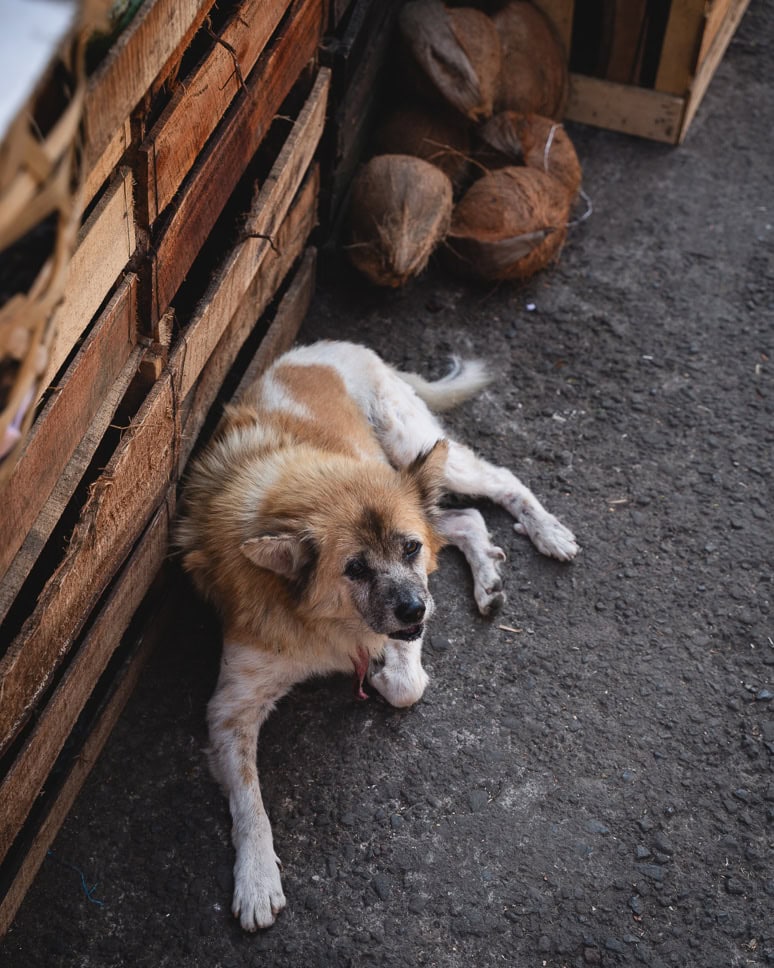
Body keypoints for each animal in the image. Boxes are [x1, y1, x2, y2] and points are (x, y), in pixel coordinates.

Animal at [176, 338, 576, 932]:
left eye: (407, 549)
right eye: (355, 569)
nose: (415, 609)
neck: (314, 615)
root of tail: (329, 346)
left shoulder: (412, 599)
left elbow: (407, 683)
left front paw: (383, 668)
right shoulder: (230, 708)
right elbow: (250, 802)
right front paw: (256, 879)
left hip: (417, 447)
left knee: (498, 484)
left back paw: (548, 531)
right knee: (464, 522)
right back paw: (488, 578)